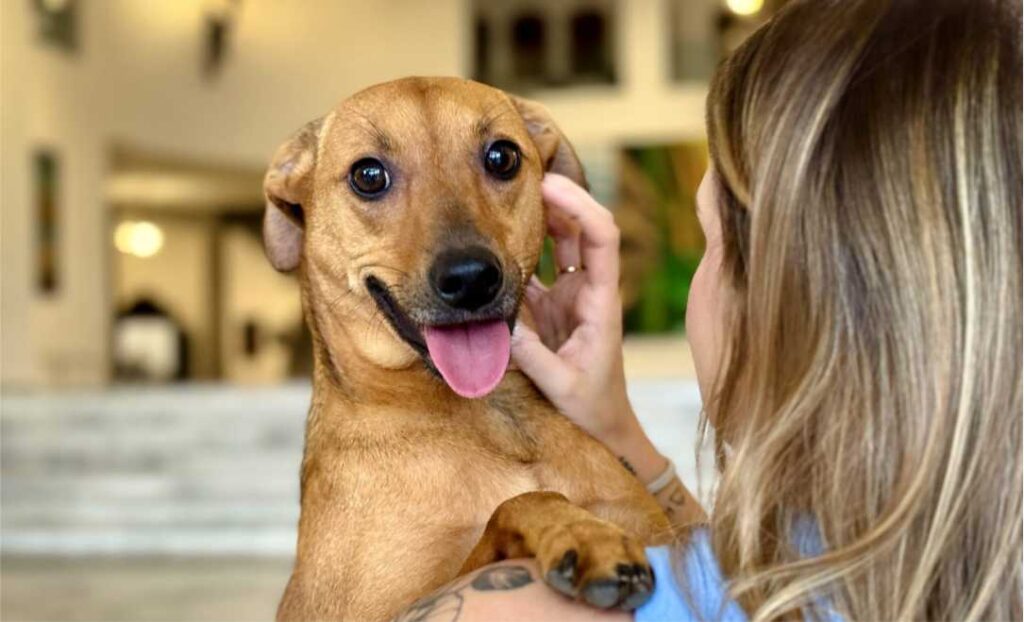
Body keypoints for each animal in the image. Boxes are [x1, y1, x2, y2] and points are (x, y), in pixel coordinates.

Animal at [263, 77, 675, 621]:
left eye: (502, 157)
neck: (488, 419)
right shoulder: (384, 610)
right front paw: (584, 537)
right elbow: (519, 503)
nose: (470, 278)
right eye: (368, 175)